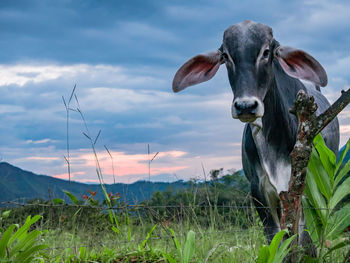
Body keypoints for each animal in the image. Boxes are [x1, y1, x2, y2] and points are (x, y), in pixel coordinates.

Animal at [172, 20, 340, 245]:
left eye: (266, 52)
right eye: (225, 56)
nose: (245, 106)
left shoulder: (303, 188)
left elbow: (301, 236)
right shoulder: (259, 192)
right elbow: (275, 236)